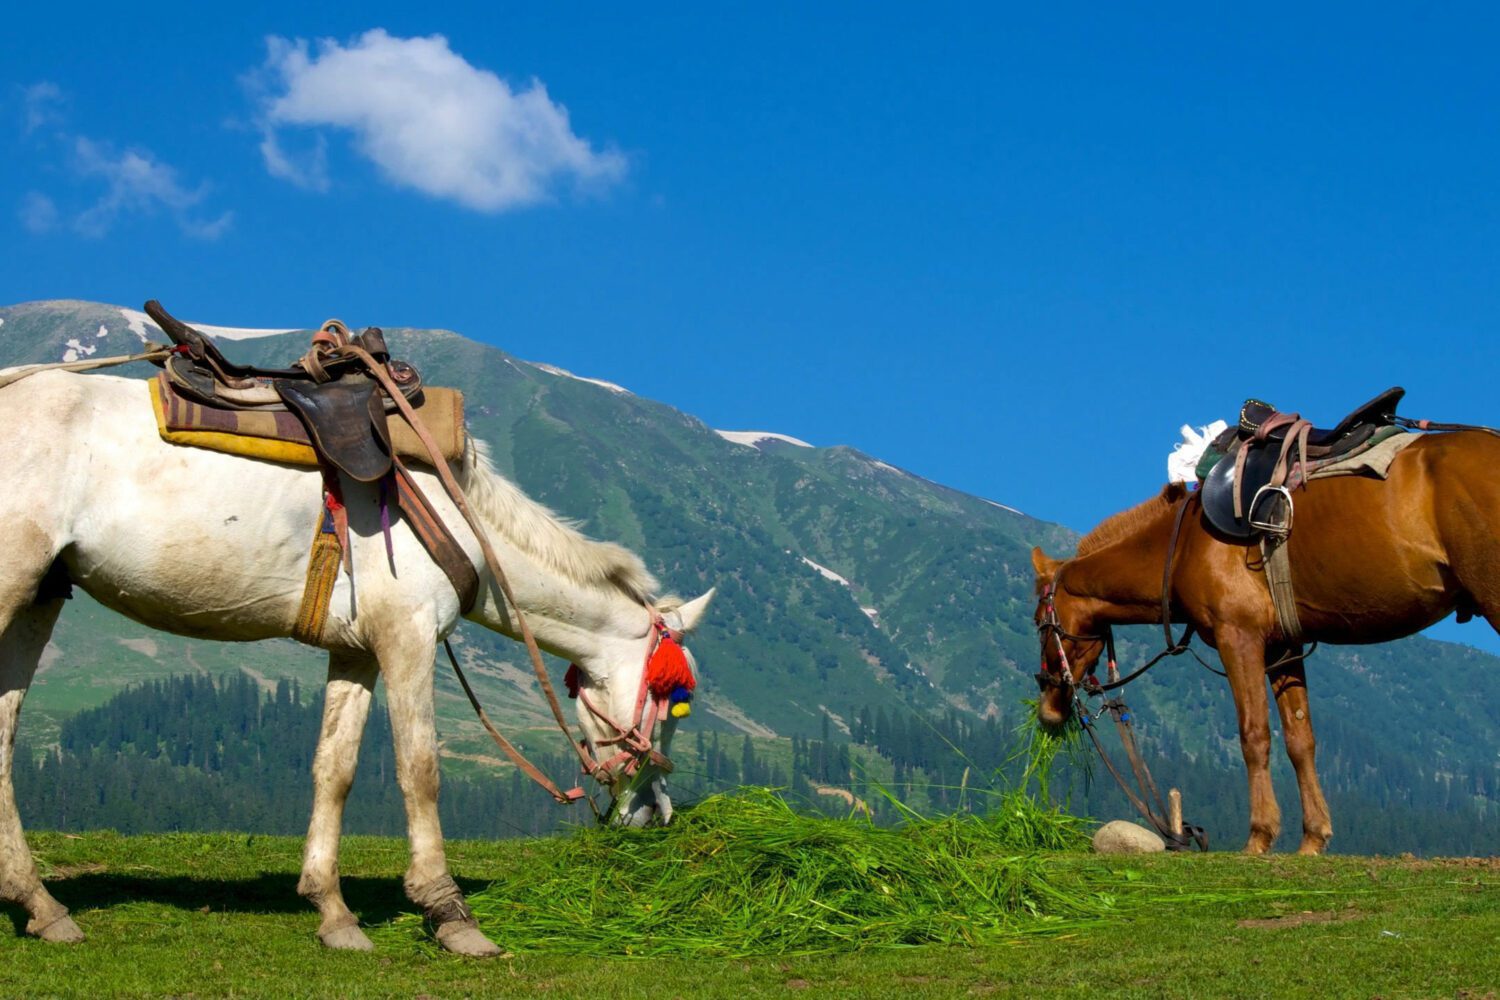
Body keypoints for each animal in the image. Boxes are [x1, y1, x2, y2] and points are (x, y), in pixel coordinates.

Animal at [0, 371, 714, 959]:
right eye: (676, 699)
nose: (656, 813)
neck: (456, 511)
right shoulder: (407, 638)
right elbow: (419, 770)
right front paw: (449, 913)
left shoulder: (356, 651)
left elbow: (334, 769)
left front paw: (332, 911)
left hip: (40, 598)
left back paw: (41, 905)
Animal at [1032, 431, 1500, 851]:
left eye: (1039, 622)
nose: (1048, 709)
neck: (1182, 546)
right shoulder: (1283, 648)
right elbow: (1300, 740)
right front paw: (1313, 837)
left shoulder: (1239, 638)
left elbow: (1254, 735)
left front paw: (1259, 835)